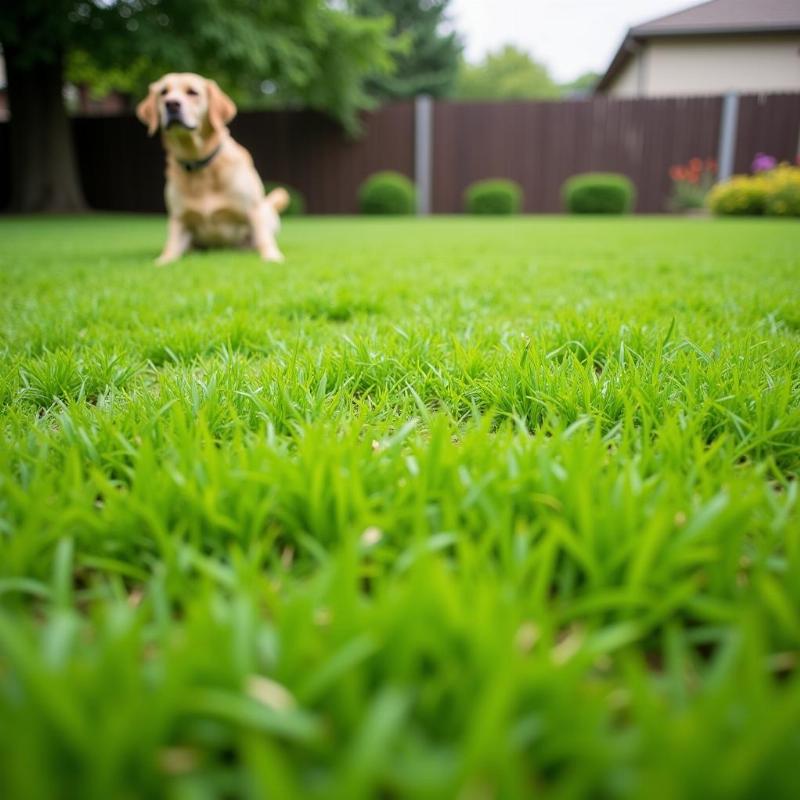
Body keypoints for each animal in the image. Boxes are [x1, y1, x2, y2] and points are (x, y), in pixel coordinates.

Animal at [136, 73, 290, 266]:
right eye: (163, 92)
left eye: (192, 92)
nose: (171, 104)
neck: (199, 165)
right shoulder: (178, 218)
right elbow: (171, 247)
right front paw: (162, 262)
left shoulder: (254, 210)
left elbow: (264, 240)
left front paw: (272, 257)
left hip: (266, 213)